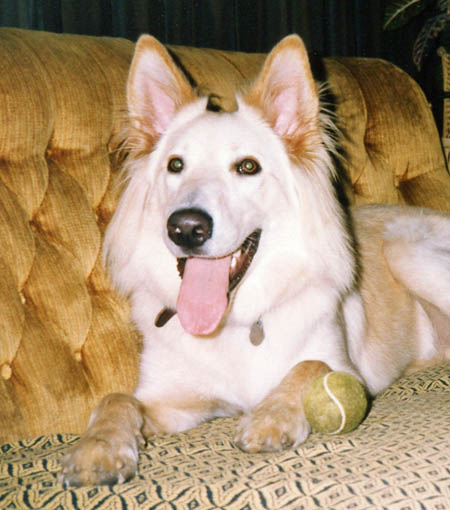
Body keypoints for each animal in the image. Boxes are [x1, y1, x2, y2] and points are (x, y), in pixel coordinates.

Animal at [61, 32, 450, 486]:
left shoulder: (347, 371)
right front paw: (97, 448)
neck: (238, 324)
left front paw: (271, 417)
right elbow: (115, 399)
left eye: (247, 167)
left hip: (409, 254)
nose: (185, 228)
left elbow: (309, 366)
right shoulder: (173, 398)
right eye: (175, 165)